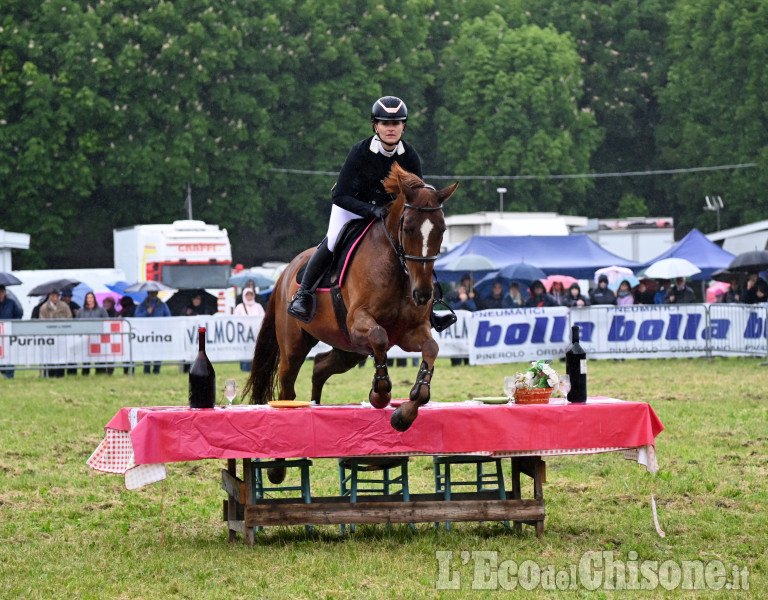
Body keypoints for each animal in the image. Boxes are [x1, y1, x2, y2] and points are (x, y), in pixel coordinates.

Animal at [244, 165, 456, 436]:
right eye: (408, 228)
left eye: (442, 230)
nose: (423, 294)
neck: (398, 270)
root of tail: (285, 273)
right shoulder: (359, 321)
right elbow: (379, 336)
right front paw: (380, 394)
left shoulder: (411, 331)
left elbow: (431, 348)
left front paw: (405, 413)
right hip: (294, 347)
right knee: (288, 387)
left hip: (348, 348)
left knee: (320, 367)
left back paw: (316, 404)